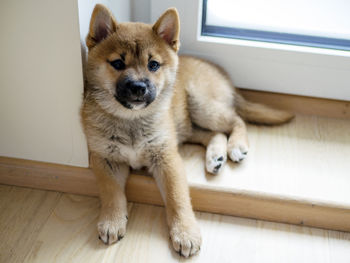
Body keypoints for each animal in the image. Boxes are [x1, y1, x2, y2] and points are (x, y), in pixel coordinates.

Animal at [80, 4, 294, 258]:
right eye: (118, 64)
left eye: (153, 65)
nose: (139, 88)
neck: (131, 120)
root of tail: (224, 76)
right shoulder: (105, 159)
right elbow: (111, 193)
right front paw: (112, 221)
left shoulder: (167, 158)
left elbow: (177, 199)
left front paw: (185, 232)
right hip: (187, 124)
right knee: (213, 134)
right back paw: (215, 157)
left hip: (201, 106)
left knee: (236, 121)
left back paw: (236, 146)